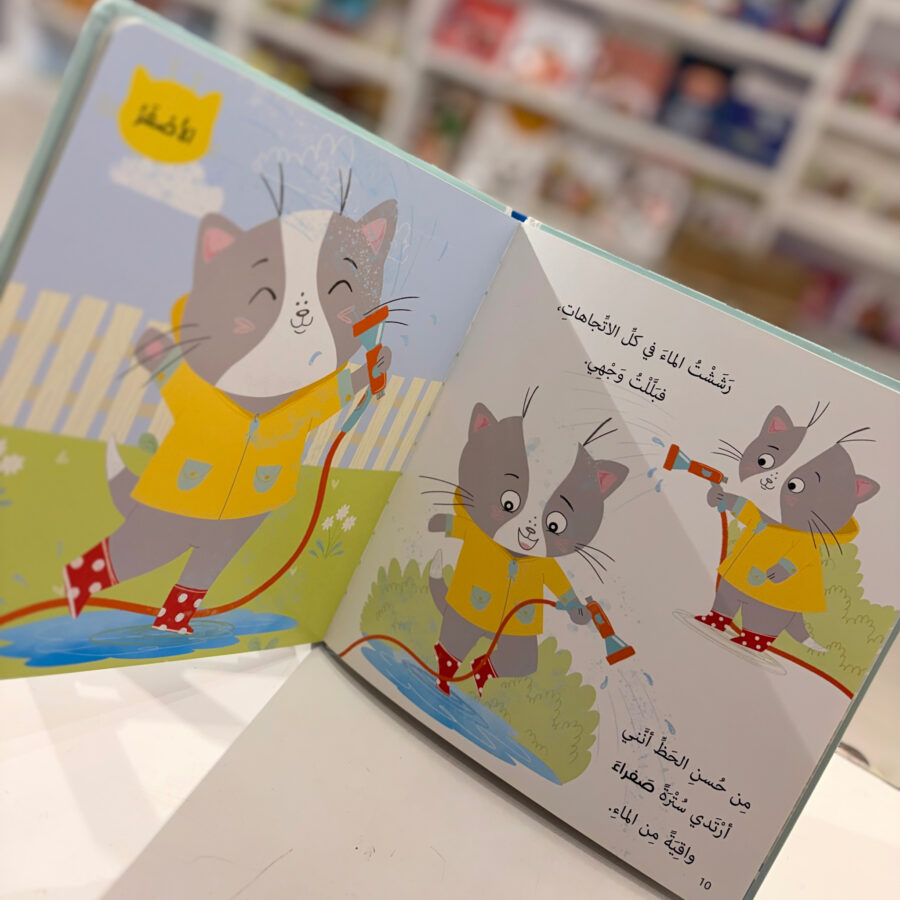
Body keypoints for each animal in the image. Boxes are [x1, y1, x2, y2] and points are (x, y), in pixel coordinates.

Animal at [62, 173, 398, 633]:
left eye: (341, 286)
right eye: (263, 293)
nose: (303, 315)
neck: (257, 407)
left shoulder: (302, 411)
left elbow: (330, 394)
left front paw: (378, 364)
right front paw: (152, 345)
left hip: (225, 535)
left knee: (197, 570)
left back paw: (174, 627)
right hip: (167, 520)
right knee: (131, 555)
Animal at [425, 390, 628, 696]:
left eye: (555, 524)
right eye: (508, 502)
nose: (530, 532)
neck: (514, 556)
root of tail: (489, 634)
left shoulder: (545, 567)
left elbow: (559, 581)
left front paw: (579, 611)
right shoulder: (478, 537)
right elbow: (462, 528)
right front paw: (437, 522)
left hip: (514, 636)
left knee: (520, 660)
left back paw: (478, 674)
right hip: (465, 617)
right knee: (453, 641)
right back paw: (443, 680)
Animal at [696, 404, 880, 653]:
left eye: (795, 486)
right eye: (764, 460)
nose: (769, 481)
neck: (773, 522)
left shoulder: (805, 543)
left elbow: (797, 558)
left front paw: (776, 572)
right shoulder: (755, 515)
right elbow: (743, 508)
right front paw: (716, 496)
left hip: (770, 609)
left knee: (762, 626)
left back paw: (748, 643)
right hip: (730, 588)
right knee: (726, 602)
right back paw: (711, 622)